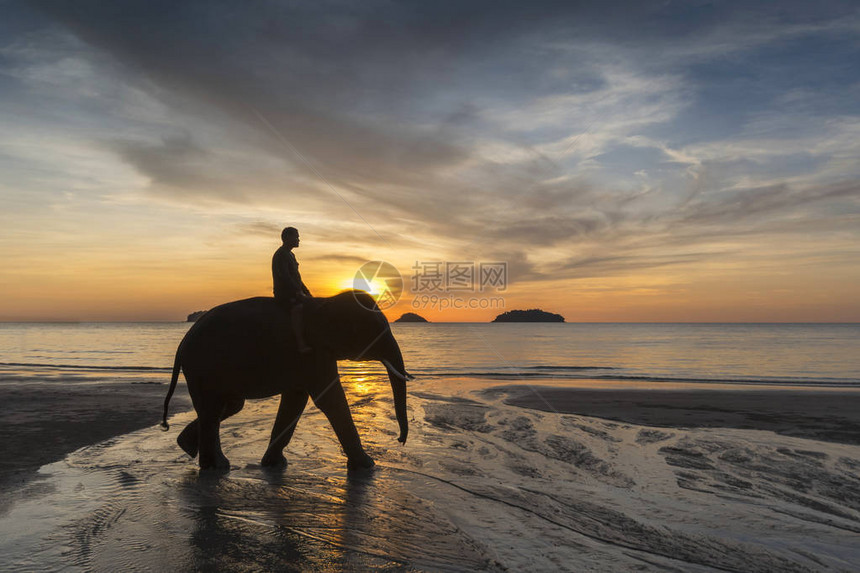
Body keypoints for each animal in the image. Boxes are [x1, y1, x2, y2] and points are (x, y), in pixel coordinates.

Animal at [165, 290, 416, 470]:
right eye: (376, 332)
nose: (400, 440)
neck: (325, 302)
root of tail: (182, 344)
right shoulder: (311, 353)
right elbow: (329, 399)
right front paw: (368, 466)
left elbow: (296, 399)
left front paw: (274, 464)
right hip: (203, 368)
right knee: (214, 409)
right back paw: (216, 467)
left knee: (226, 407)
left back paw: (189, 448)